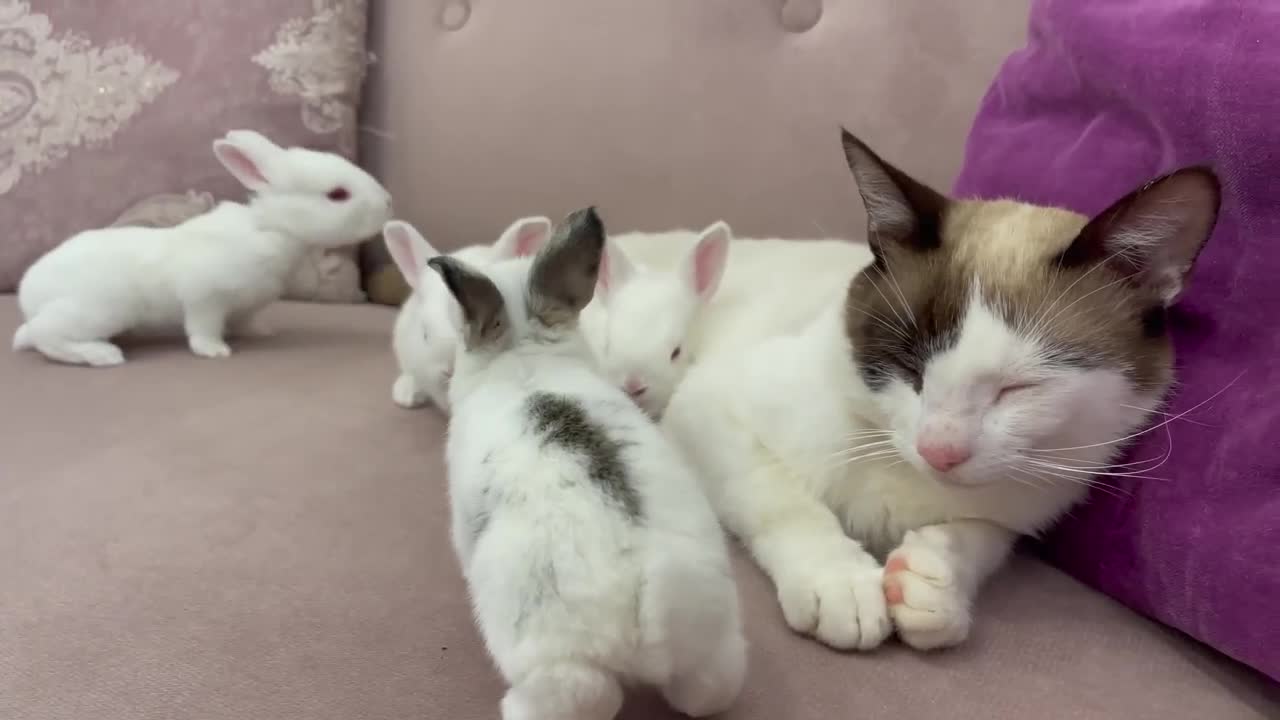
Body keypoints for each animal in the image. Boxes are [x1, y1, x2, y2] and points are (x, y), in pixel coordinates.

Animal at [11, 128, 389, 363]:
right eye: (337, 194)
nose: (387, 202)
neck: (271, 229)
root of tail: (29, 292)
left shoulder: (245, 305)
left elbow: (245, 321)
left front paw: (262, 333)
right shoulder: (205, 297)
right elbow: (202, 328)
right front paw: (215, 351)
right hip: (99, 308)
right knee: (45, 334)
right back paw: (102, 355)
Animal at [660, 127, 1218, 650]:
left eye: (1019, 387)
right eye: (910, 366)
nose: (939, 452)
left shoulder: (1024, 505)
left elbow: (982, 538)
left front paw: (934, 585)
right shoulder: (707, 408)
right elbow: (784, 500)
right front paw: (841, 582)